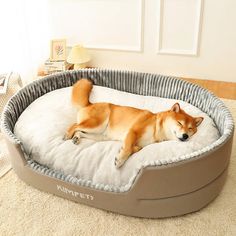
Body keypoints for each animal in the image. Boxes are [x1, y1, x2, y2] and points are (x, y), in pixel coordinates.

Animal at [63, 79, 204, 168]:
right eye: (180, 123)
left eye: (190, 129)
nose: (185, 136)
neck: (156, 127)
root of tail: (89, 104)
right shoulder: (133, 131)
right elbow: (129, 148)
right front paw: (120, 160)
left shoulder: (139, 142)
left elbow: (135, 148)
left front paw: (124, 150)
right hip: (96, 124)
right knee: (74, 125)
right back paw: (68, 135)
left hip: (99, 135)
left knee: (80, 131)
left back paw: (76, 137)